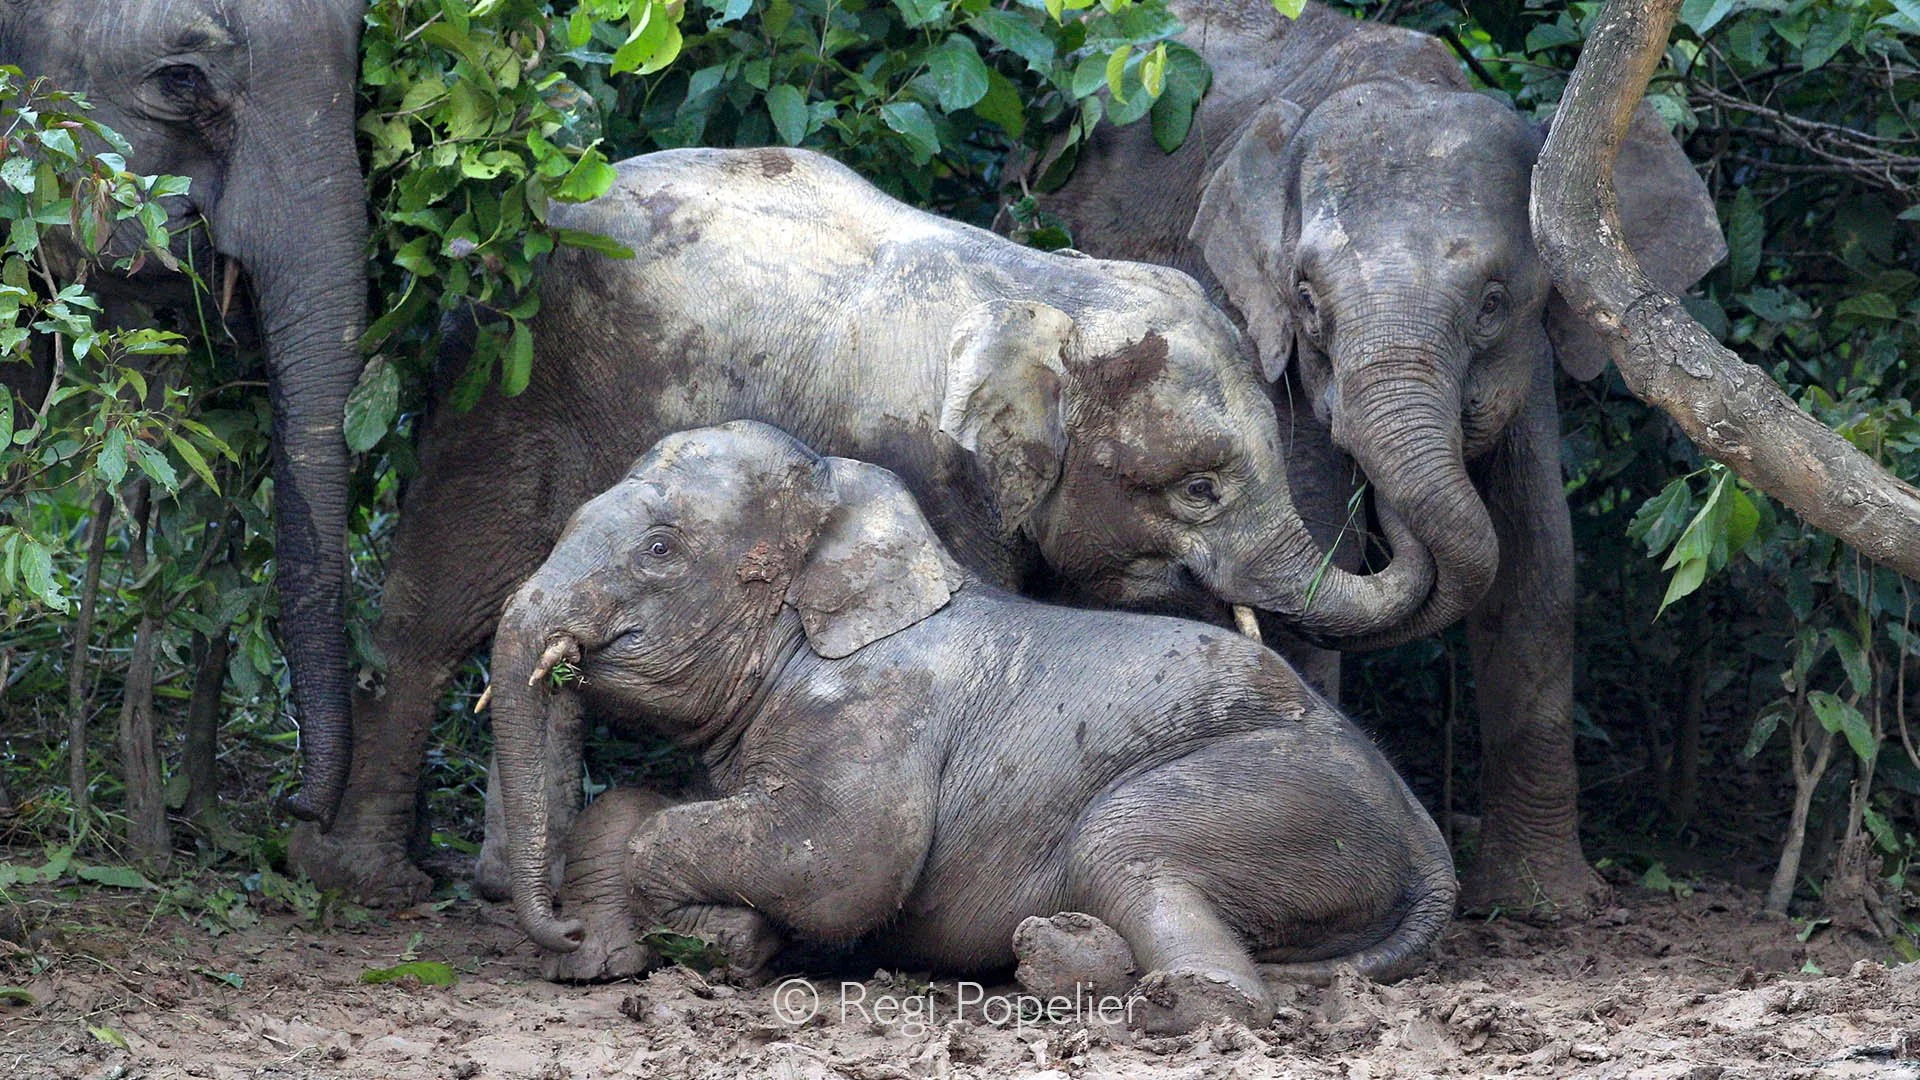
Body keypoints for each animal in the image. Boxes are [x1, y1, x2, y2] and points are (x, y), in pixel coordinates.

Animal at [289, 146, 1439, 906]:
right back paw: (373, 882)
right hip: (502, 384)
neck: (1047, 292)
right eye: (1199, 490)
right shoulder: (927, 462)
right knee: (440, 608)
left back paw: (490, 880)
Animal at [495, 420, 1459, 1035]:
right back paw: (1054, 958)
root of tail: (1426, 837)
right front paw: (598, 963)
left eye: (661, 550)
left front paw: (716, 938)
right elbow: (653, 807)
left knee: (1123, 846)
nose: (559, 931)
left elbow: (838, 865)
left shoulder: (881, 713)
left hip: (1282, 800)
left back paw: (1160, 1000)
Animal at [1038, 0, 1726, 915]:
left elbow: (1538, 562)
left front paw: (1548, 906)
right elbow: (1318, 522)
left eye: (1494, 302)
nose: (1389, 503)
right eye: (1305, 298)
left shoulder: (1532, 369)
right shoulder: (1265, 344)